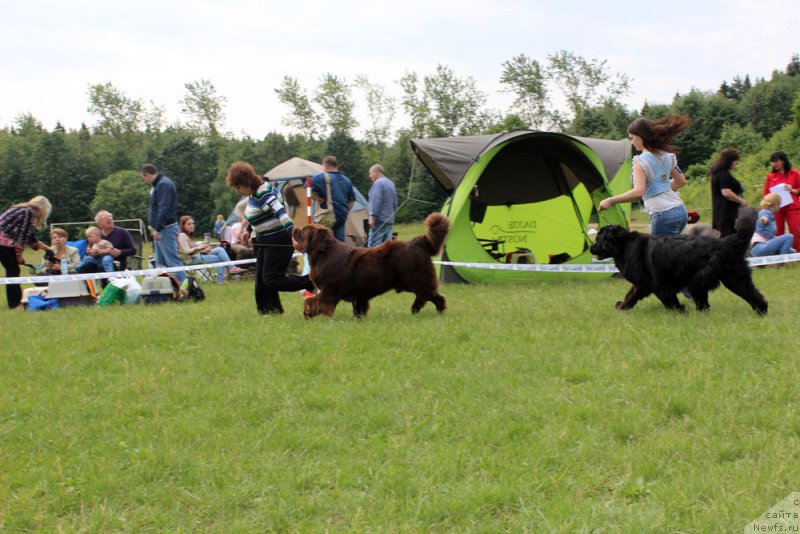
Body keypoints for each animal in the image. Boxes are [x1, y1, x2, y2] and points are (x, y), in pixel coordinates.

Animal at [292, 213, 450, 318]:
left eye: (303, 231)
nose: (294, 228)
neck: (323, 254)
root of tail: (420, 242)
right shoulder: (358, 295)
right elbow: (359, 307)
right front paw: (359, 318)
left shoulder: (329, 290)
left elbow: (311, 302)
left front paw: (308, 314)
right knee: (424, 296)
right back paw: (415, 310)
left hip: (416, 279)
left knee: (433, 296)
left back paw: (439, 311)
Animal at [592, 208, 764, 316]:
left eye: (598, 239)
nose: (591, 248)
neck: (624, 245)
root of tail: (726, 242)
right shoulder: (641, 285)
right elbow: (630, 296)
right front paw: (622, 306)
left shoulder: (657, 285)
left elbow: (669, 300)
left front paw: (680, 311)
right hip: (734, 277)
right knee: (752, 294)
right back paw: (761, 311)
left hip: (699, 280)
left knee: (704, 302)